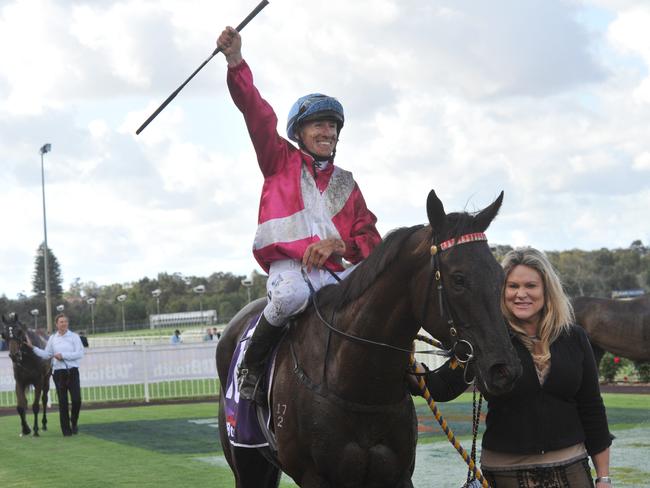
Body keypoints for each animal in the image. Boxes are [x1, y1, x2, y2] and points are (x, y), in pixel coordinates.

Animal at [218, 191, 520, 488]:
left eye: (499, 276)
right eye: (458, 279)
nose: (504, 369)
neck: (358, 383)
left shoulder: (397, 474)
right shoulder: (314, 477)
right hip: (246, 460)